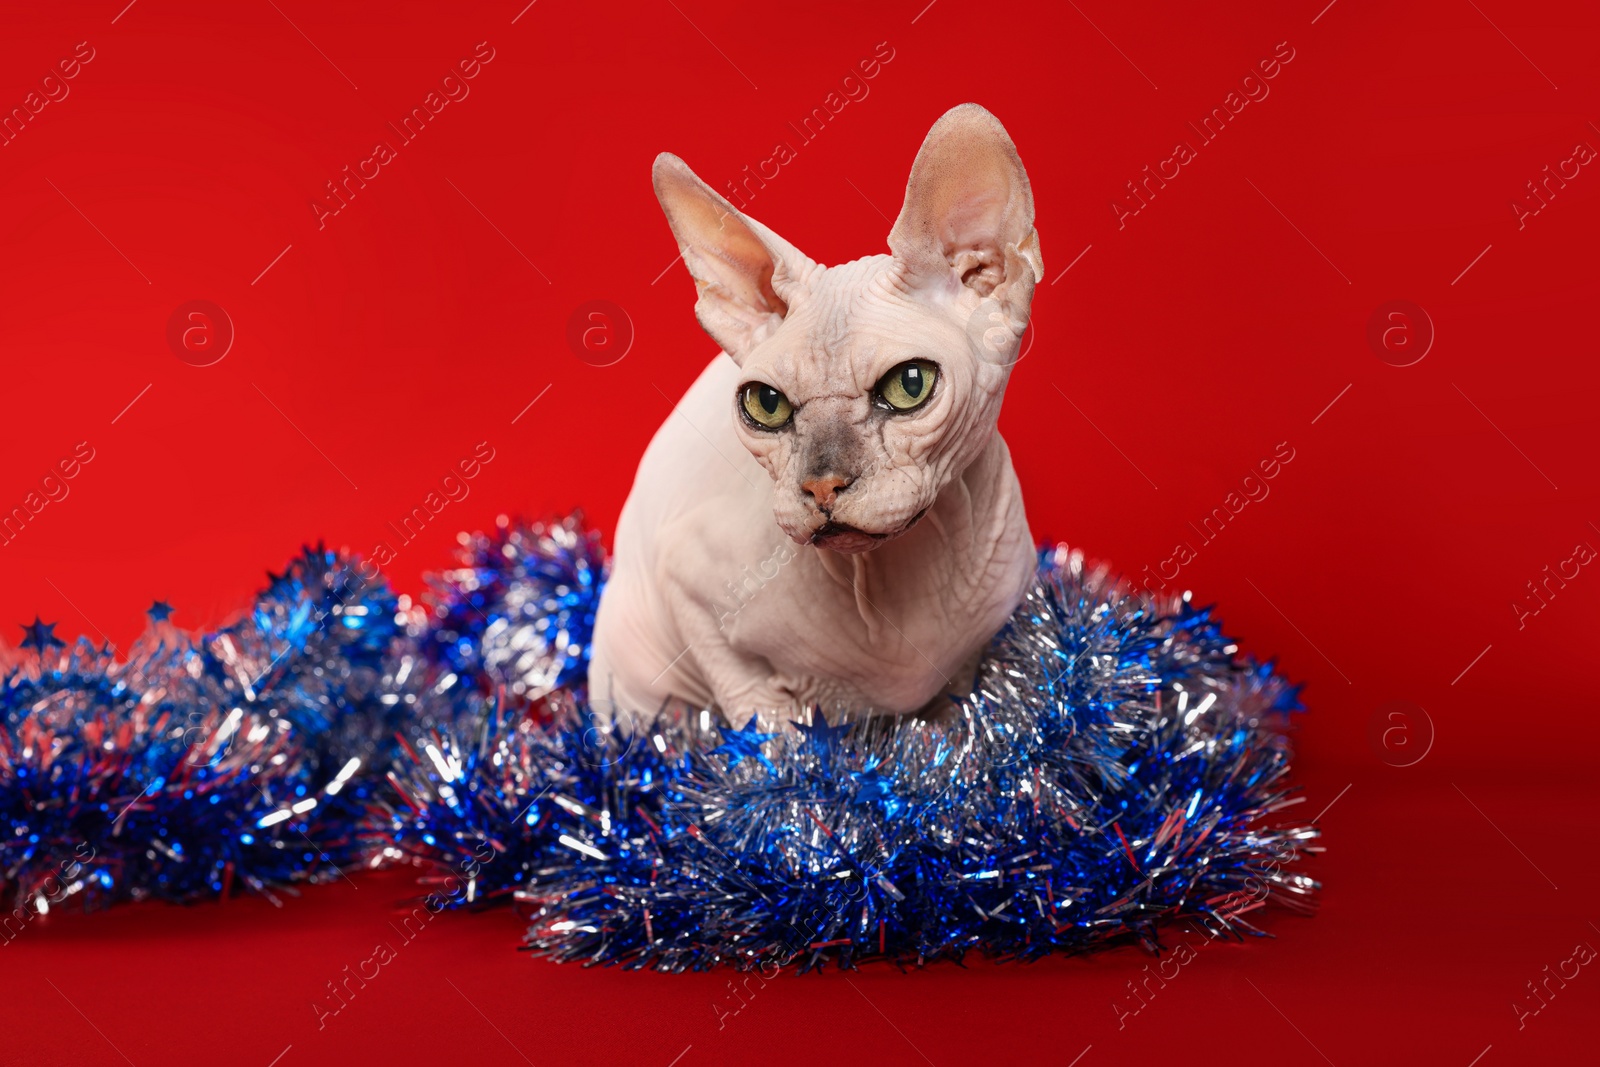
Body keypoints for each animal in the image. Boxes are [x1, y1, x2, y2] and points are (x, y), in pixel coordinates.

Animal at [595, 103, 1043, 729]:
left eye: (910, 385)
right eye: (766, 404)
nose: (822, 485)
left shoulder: (973, 655)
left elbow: (956, 726)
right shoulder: (686, 585)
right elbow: (760, 716)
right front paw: (784, 753)